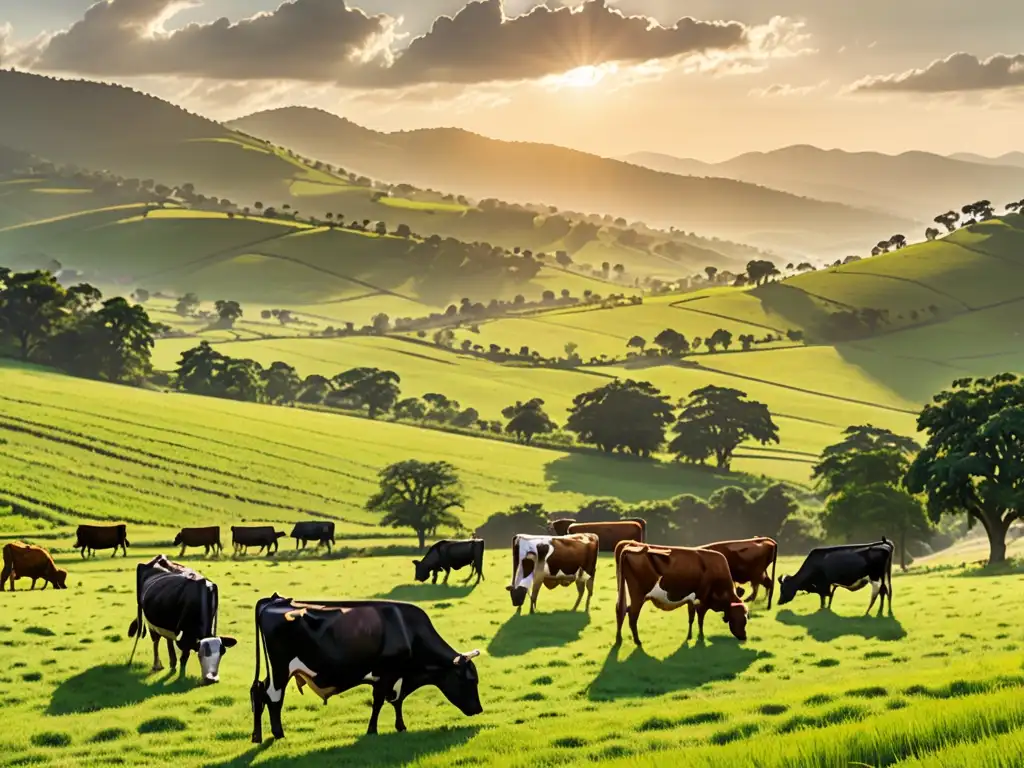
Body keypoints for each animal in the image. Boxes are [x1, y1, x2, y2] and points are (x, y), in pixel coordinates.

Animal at [126, 552, 237, 684]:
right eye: (200, 655)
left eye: (222, 652)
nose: (212, 679)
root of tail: (159, 558)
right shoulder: (185, 635)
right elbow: (185, 656)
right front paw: (181, 678)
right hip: (149, 619)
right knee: (155, 640)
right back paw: (157, 665)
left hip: (168, 621)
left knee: (168, 639)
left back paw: (172, 664)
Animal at [250, 593, 483, 741]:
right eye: (469, 680)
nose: (479, 709)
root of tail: (275, 600)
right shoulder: (387, 674)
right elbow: (379, 702)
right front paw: (372, 730)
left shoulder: (397, 677)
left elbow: (396, 701)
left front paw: (400, 727)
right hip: (281, 670)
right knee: (273, 697)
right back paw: (278, 733)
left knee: (258, 692)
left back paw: (257, 736)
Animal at [610, 540, 749, 651]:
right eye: (741, 619)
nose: (744, 637)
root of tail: (631, 544)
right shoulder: (702, 600)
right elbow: (700, 619)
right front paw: (701, 637)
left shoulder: (691, 600)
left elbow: (691, 618)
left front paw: (689, 637)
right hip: (638, 596)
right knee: (632, 616)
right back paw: (637, 642)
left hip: (623, 592)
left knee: (620, 611)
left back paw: (618, 640)